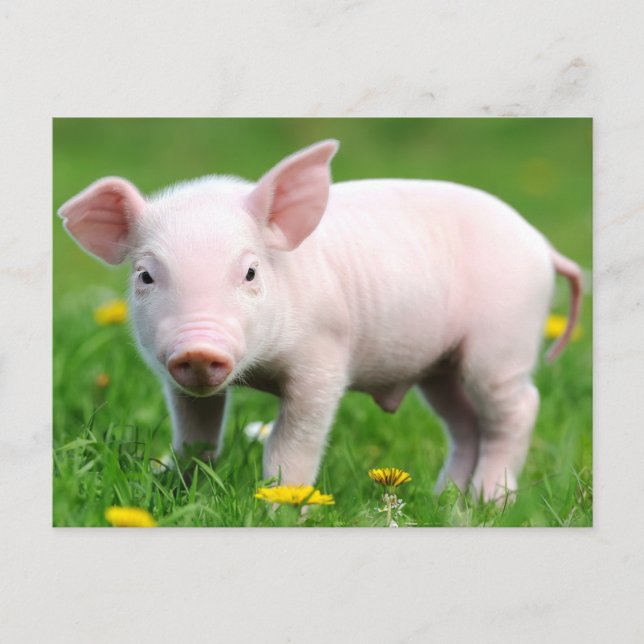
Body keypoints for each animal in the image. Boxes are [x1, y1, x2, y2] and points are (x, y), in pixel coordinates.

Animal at [58, 139, 582, 502]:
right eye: (145, 275)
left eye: (250, 272)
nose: (199, 348)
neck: (258, 370)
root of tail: (542, 245)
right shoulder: (177, 381)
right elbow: (195, 436)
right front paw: (171, 485)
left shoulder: (323, 361)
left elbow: (291, 444)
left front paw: (281, 505)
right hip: (441, 367)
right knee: (466, 424)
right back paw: (444, 502)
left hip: (502, 342)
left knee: (518, 409)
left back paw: (489, 502)